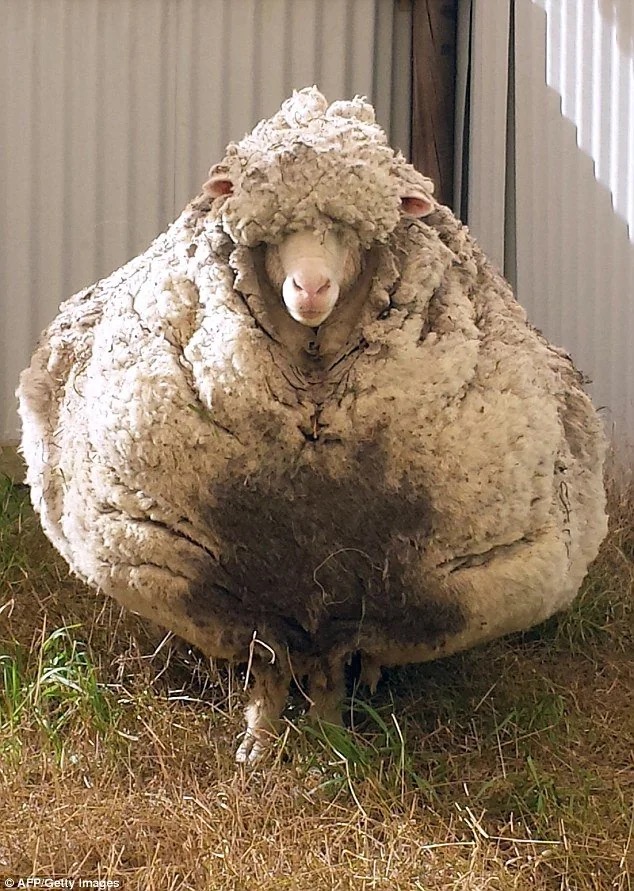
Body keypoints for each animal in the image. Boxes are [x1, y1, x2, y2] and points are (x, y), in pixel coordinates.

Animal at [17, 87, 608, 764]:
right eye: (272, 236)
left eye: (353, 234)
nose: (311, 288)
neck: (314, 384)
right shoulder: (238, 590)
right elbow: (268, 668)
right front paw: (257, 746)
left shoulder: (365, 603)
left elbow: (333, 670)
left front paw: (330, 745)